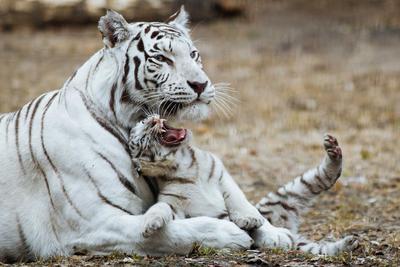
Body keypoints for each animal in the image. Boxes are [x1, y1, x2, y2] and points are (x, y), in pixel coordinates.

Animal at [130, 114, 358, 256]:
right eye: (139, 138)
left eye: (143, 120)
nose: (152, 119)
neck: (183, 165)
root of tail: (290, 227)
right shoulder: (174, 206)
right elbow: (161, 207)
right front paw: (150, 224)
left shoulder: (222, 177)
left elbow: (238, 200)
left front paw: (249, 220)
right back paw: (349, 244)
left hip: (286, 195)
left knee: (325, 176)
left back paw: (333, 150)